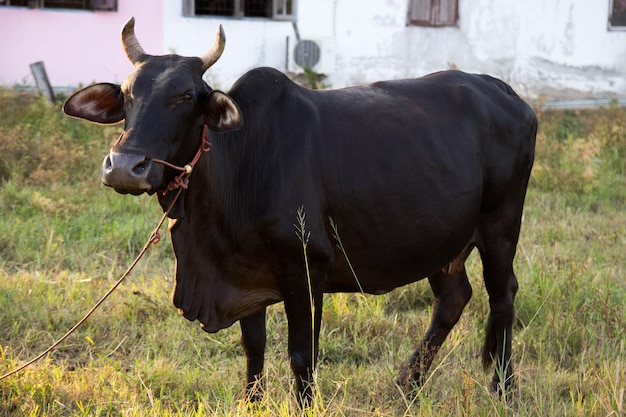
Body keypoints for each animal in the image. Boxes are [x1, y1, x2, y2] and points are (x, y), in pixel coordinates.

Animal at [63, 17, 532, 404]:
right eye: (127, 95)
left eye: (186, 96)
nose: (126, 167)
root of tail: (505, 92)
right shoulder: (242, 276)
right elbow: (254, 349)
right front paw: (251, 403)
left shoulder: (307, 269)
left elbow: (302, 356)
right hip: (441, 239)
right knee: (453, 300)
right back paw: (407, 384)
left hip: (500, 226)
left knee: (502, 297)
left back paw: (504, 389)